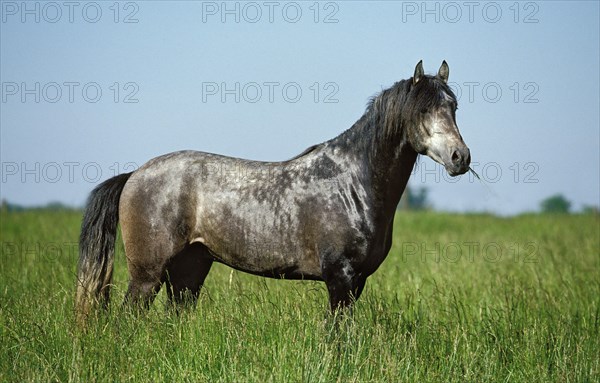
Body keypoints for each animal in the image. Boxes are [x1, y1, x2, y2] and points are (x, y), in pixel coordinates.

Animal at [75, 60, 472, 324]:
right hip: (147, 274)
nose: (460, 157)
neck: (353, 184)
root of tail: (134, 175)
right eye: (423, 109)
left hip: (189, 270)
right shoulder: (340, 279)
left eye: (453, 107)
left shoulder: (357, 282)